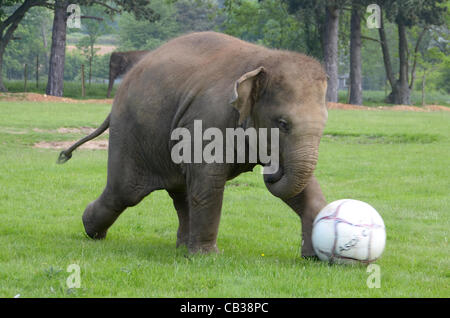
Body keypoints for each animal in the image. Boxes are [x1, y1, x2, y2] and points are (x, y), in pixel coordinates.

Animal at [59, 31, 326, 258]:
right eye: (282, 123)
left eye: (324, 123)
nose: (271, 171)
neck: (263, 60)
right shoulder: (209, 119)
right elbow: (209, 179)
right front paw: (208, 257)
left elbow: (305, 187)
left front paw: (315, 258)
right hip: (129, 134)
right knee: (123, 192)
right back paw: (89, 228)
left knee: (180, 192)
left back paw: (181, 247)